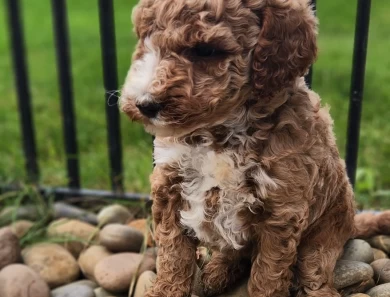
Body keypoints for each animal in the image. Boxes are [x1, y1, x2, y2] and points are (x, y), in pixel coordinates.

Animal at [119, 0, 380, 296]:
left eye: (206, 50)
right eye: (145, 39)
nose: (145, 104)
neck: (220, 132)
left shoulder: (281, 210)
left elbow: (268, 273)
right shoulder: (169, 187)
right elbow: (172, 255)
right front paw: (165, 289)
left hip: (329, 228)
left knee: (315, 267)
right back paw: (216, 273)